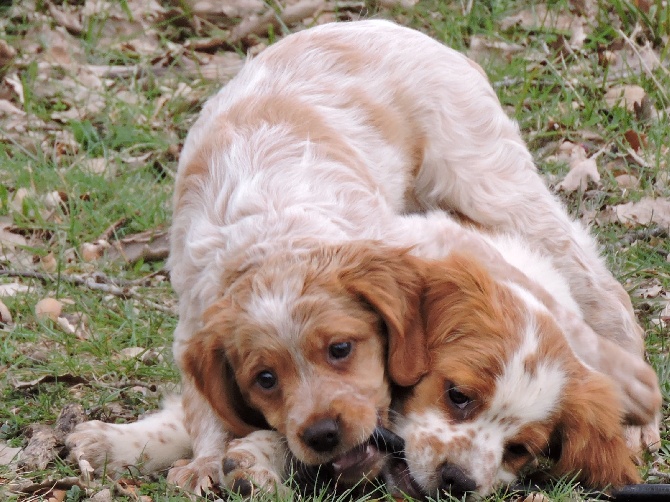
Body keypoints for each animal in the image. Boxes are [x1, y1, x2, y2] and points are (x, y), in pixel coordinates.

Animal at [67, 20, 660, 494]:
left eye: (340, 350)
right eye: (265, 379)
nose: (324, 434)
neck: (272, 242)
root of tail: (387, 24)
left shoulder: (428, 238)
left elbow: (548, 311)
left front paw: (625, 387)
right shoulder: (194, 314)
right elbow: (204, 407)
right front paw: (206, 461)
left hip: (489, 184)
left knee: (598, 284)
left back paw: (636, 405)